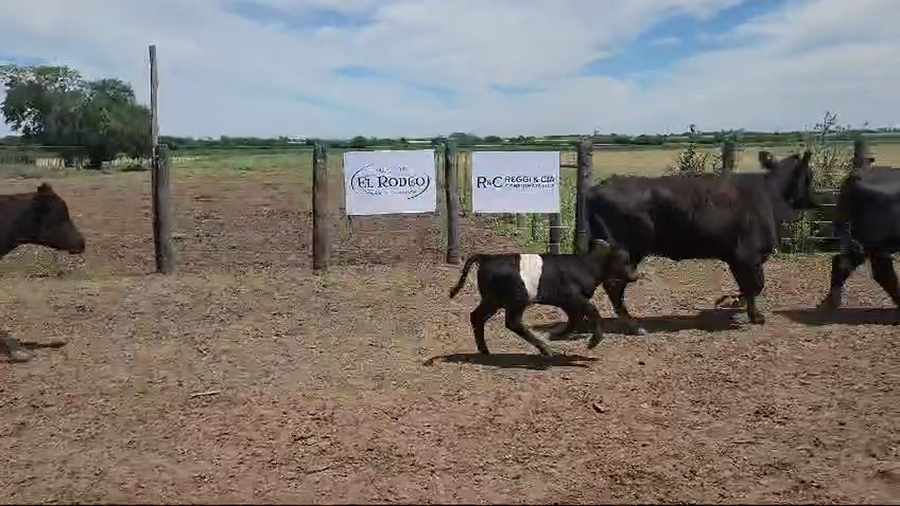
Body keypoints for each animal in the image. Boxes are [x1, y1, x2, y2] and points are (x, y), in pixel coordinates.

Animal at [448, 239, 639, 356]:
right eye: (624, 260)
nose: (635, 275)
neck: (587, 267)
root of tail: (487, 258)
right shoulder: (575, 297)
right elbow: (593, 312)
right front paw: (593, 342)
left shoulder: (568, 303)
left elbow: (575, 320)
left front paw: (553, 334)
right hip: (514, 300)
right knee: (512, 323)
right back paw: (545, 350)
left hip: (493, 299)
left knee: (477, 316)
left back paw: (485, 350)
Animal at [584, 150, 815, 335]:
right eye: (809, 176)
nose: (814, 200)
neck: (770, 196)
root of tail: (598, 188)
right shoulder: (748, 254)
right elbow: (755, 285)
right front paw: (755, 316)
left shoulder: (736, 258)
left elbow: (747, 285)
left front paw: (736, 304)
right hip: (629, 250)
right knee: (614, 285)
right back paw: (633, 325)